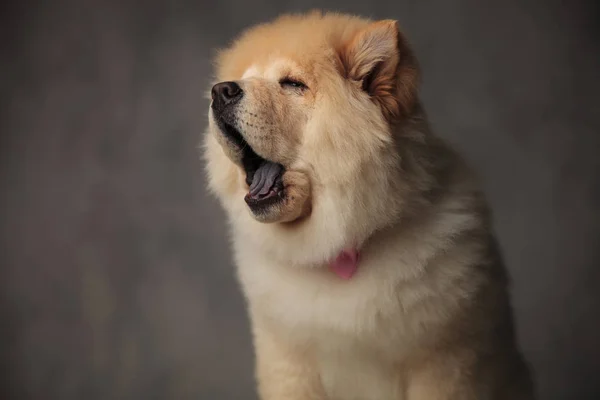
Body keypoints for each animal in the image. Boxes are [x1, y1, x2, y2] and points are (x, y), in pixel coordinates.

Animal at [203, 10, 536, 400]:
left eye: (292, 84)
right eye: (244, 77)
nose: (221, 90)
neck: (342, 246)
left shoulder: (442, 362)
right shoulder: (290, 366)